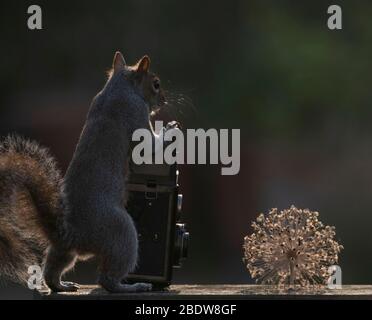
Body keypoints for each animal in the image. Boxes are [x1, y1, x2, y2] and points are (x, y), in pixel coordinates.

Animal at [0, 50, 177, 292]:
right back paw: (131, 286)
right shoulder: (135, 113)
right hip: (121, 233)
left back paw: (62, 285)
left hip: (64, 251)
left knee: (53, 269)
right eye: (156, 84)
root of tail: (72, 234)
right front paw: (170, 130)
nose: (164, 101)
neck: (118, 88)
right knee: (107, 279)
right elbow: (148, 146)